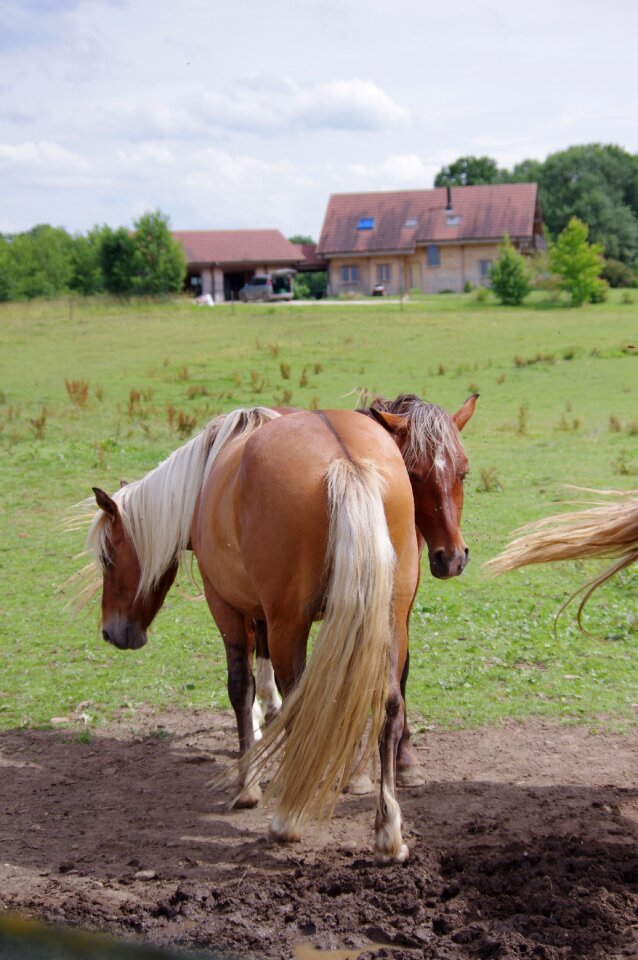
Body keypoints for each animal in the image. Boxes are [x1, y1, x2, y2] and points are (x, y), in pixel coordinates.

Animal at [80, 398, 476, 864]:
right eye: (418, 472)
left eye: (108, 558)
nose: (113, 633)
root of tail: (344, 459)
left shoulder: (225, 604)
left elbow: (240, 687)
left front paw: (248, 783)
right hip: (386, 613)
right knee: (386, 703)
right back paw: (387, 831)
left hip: (292, 622)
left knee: (300, 704)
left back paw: (288, 817)